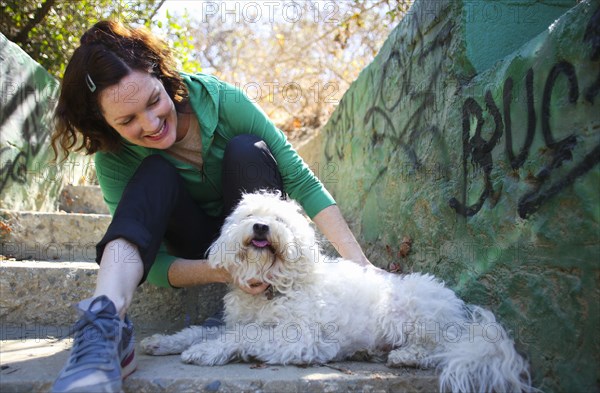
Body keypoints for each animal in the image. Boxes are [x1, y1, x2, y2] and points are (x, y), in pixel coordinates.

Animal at [143, 191, 532, 390]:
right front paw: (163, 342)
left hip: (413, 313)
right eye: (249, 216)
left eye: (280, 220)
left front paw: (205, 352)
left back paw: (405, 356)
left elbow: (242, 336)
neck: (276, 285)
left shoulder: (298, 340)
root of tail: (462, 314)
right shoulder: (241, 321)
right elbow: (200, 331)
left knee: (438, 350)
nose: (261, 227)